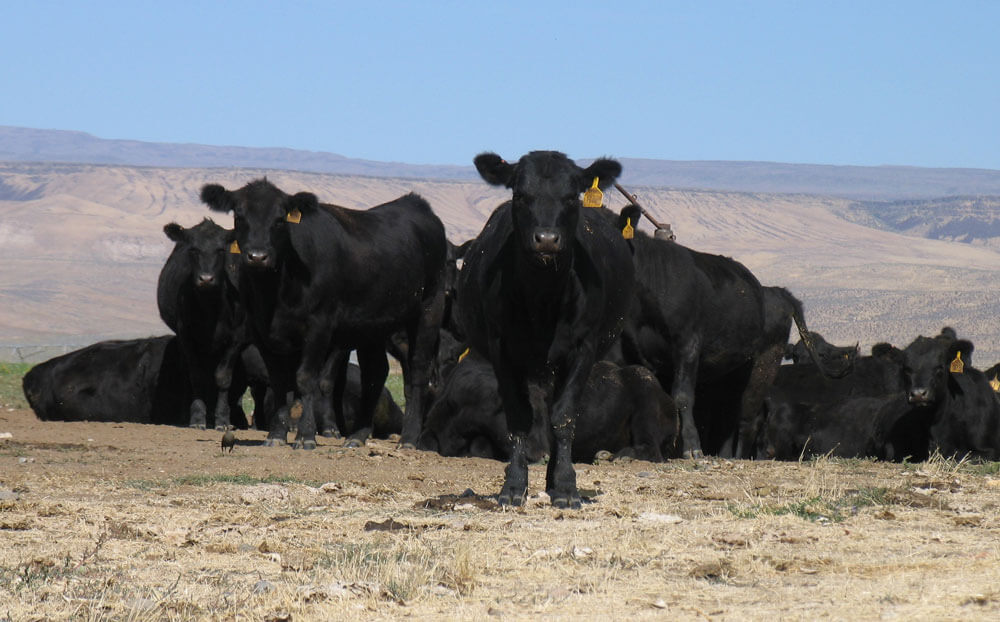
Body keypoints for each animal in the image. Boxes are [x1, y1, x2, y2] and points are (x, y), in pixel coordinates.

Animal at [158, 218, 250, 428]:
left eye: (221, 250)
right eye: (193, 250)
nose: (206, 279)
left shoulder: (237, 337)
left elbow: (222, 377)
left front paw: (222, 419)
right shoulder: (186, 335)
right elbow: (196, 376)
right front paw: (198, 418)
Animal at [414, 352, 680, 464]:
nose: (544, 454)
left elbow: (480, 447)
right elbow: (424, 442)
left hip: (645, 401)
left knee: (651, 450)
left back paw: (617, 456)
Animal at [456, 152, 632, 512]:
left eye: (571, 196)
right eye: (521, 195)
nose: (547, 239)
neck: (542, 300)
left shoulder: (583, 348)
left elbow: (563, 418)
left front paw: (565, 487)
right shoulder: (502, 349)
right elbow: (518, 417)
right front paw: (513, 486)